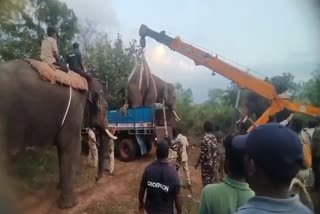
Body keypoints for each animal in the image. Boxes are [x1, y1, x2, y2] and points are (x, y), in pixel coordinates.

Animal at [0, 60, 116, 209]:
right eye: (105, 109)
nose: (96, 179)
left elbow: (62, 149)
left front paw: (59, 188)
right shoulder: (74, 110)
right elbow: (72, 147)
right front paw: (71, 205)